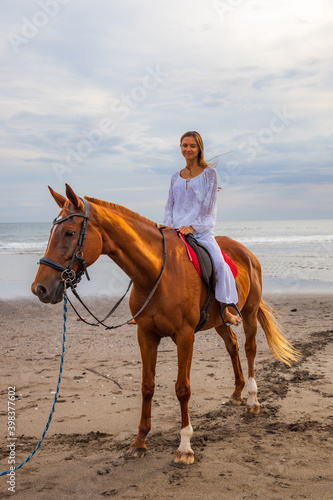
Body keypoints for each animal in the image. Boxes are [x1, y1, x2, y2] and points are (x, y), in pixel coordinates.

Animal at [31, 184, 296, 464]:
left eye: (69, 232)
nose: (40, 288)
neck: (157, 272)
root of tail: (246, 252)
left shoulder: (185, 336)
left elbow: (183, 389)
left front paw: (185, 446)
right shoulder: (146, 334)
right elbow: (147, 386)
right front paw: (139, 441)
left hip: (249, 312)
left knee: (249, 349)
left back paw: (253, 401)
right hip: (220, 322)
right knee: (233, 347)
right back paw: (237, 393)